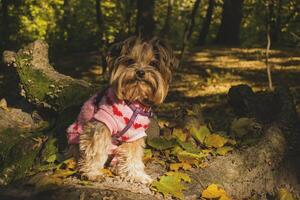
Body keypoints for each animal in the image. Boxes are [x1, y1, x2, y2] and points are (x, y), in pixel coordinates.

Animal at [67, 36, 177, 184]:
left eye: (153, 63)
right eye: (130, 61)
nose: (140, 72)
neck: (134, 101)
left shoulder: (134, 134)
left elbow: (133, 156)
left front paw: (137, 175)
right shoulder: (102, 125)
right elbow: (96, 150)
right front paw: (93, 173)